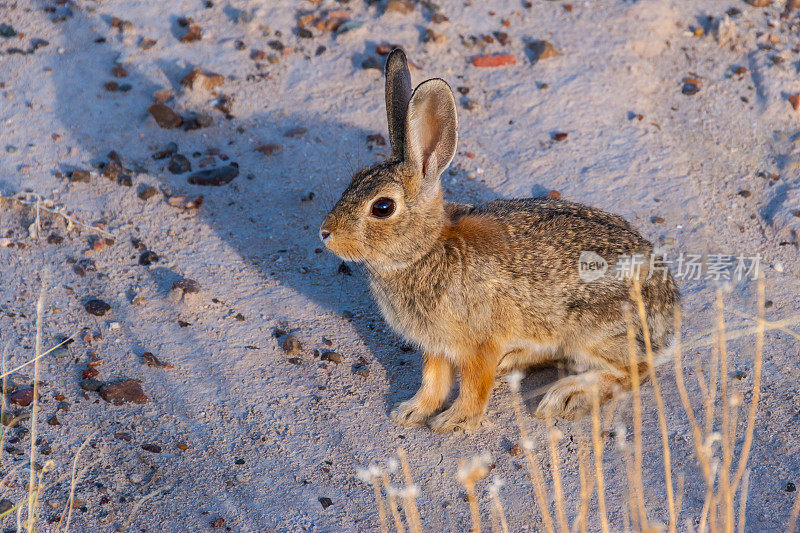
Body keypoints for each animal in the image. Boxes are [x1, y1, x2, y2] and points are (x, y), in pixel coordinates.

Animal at [316, 48, 680, 432]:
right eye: (355, 178)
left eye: (382, 207)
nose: (326, 233)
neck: (426, 250)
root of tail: (669, 314)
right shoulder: (436, 346)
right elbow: (433, 381)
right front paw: (411, 411)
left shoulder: (478, 344)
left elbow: (475, 385)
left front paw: (455, 422)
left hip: (594, 331)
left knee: (635, 370)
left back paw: (566, 395)